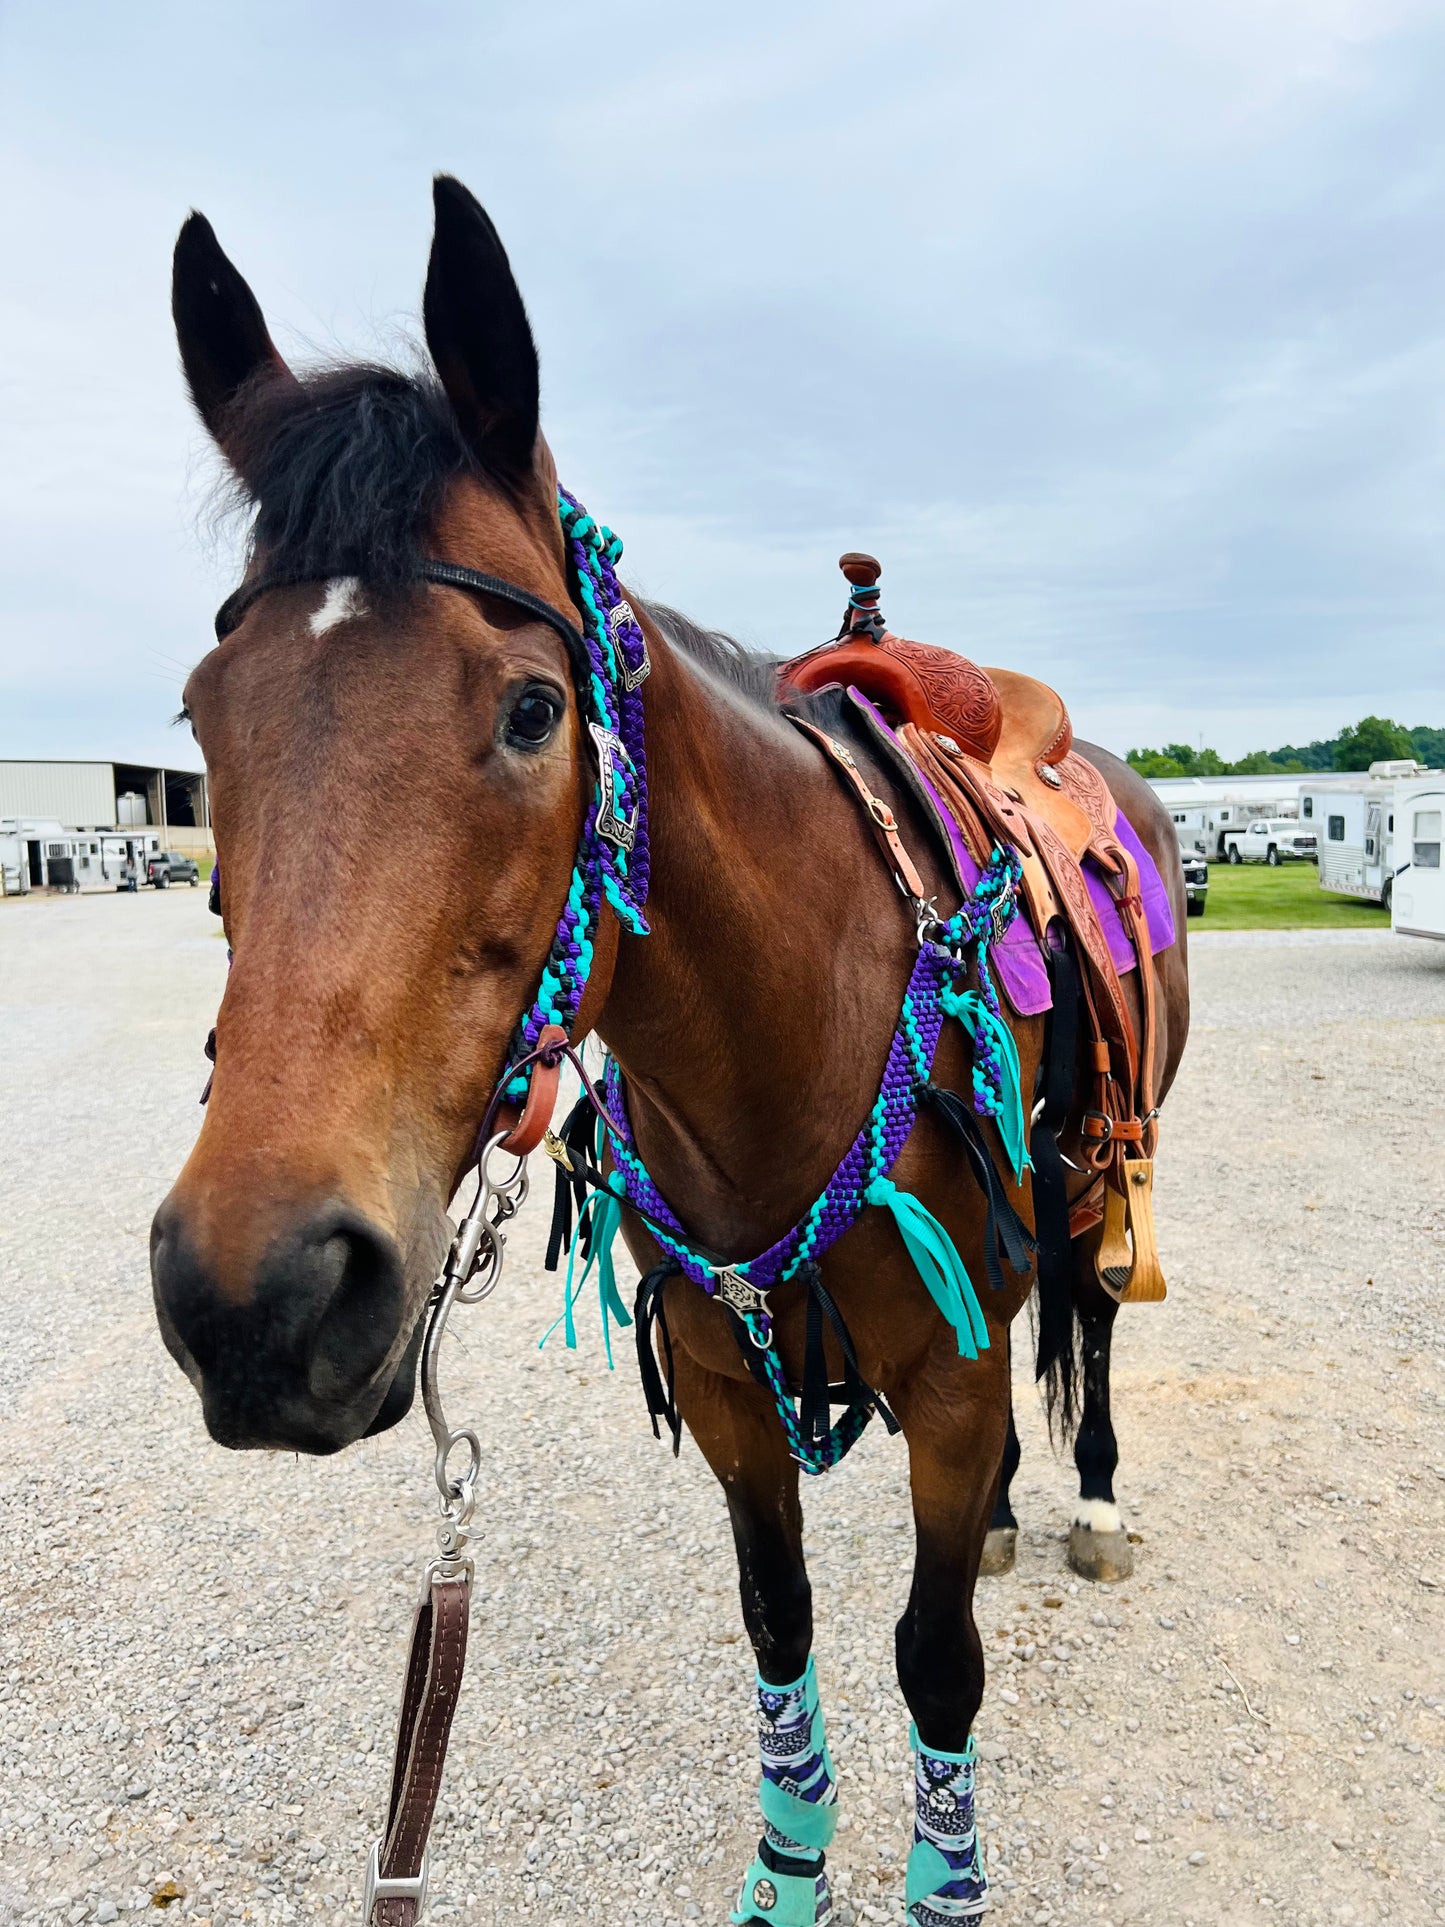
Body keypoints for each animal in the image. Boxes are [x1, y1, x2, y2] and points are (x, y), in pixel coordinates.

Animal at [156, 181, 1186, 1927]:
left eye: (530, 709)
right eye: (200, 714)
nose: (258, 1296)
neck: (791, 1027)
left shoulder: (950, 1366)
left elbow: (935, 1659)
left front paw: (942, 1880)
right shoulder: (720, 1381)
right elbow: (780, 1619)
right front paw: (788, 1867)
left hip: (1094, 1167)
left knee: (1094, 1315)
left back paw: (1093, 1495)